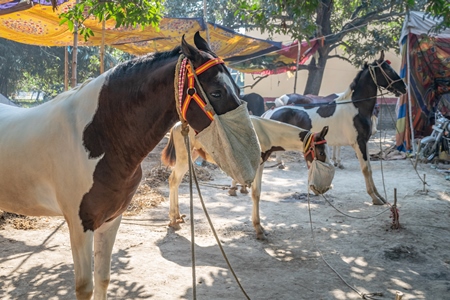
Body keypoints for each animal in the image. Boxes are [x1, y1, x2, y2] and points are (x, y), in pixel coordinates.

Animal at [0, 31, 260, 298]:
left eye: (237, 88)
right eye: (217, 92)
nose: (254, 158)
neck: (97, 137)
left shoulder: (111, 219)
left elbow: (103, 278)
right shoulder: (80, 224)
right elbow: (85, 287)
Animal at [160, 116, 328, 240]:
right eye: (321, 152)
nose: (323, 188)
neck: (265, 132)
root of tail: (176, 126)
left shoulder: (259, 165)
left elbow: (256, 192)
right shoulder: (255, 166)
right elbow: (255, 194)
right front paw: (259, 229)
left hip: (192, 155)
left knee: (177, 181)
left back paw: (177, 216)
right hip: (184, 157)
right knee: (173, 180)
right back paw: (173, 220)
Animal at [262, 52, 406, 206]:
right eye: (388, 70)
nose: (404, 87)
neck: (356, 107)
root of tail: (270, 112)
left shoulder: (363, 143)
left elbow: (369, 168)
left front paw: (379, 196)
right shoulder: (359, 143)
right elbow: (366, 169)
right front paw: (375, 198)